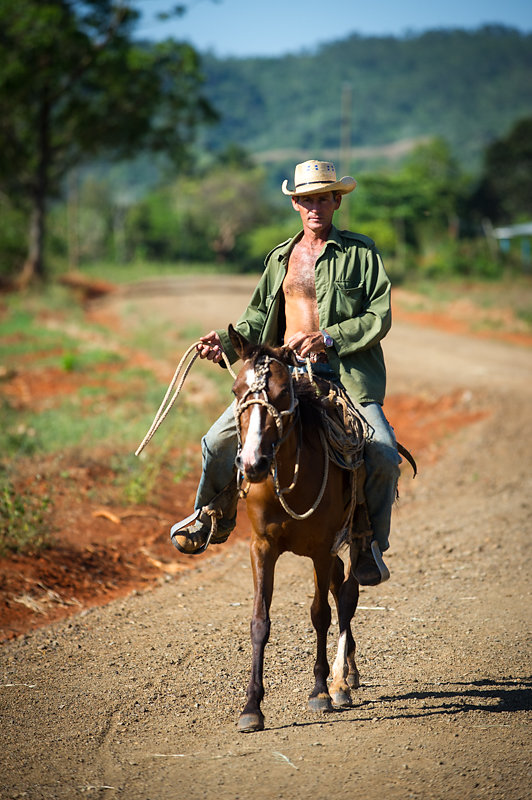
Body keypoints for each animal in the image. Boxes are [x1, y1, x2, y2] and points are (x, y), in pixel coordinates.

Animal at [230, 324, 374, 732]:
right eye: (236, 390)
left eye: (282, 392)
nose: (252, 463)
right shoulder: (261, 547)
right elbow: (259, 621)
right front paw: (251, 707)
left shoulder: (321, 549)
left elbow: (320, 614)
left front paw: (320, 692)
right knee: (342, 587)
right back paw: (348, 674)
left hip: (352, 540)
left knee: (348, 593)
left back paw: (342, 682)